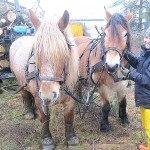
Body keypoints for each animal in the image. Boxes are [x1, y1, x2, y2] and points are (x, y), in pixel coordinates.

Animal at [9, 9, 79, 149]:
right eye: (35, 53)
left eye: (63, 53)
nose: (48, 95)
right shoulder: (40, 98)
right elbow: (45, 118)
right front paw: (47, 140)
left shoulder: (71, 98)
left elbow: (69, 117)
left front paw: (71, 138)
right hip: (22, 82)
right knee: (25, 95)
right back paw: (29, 112)